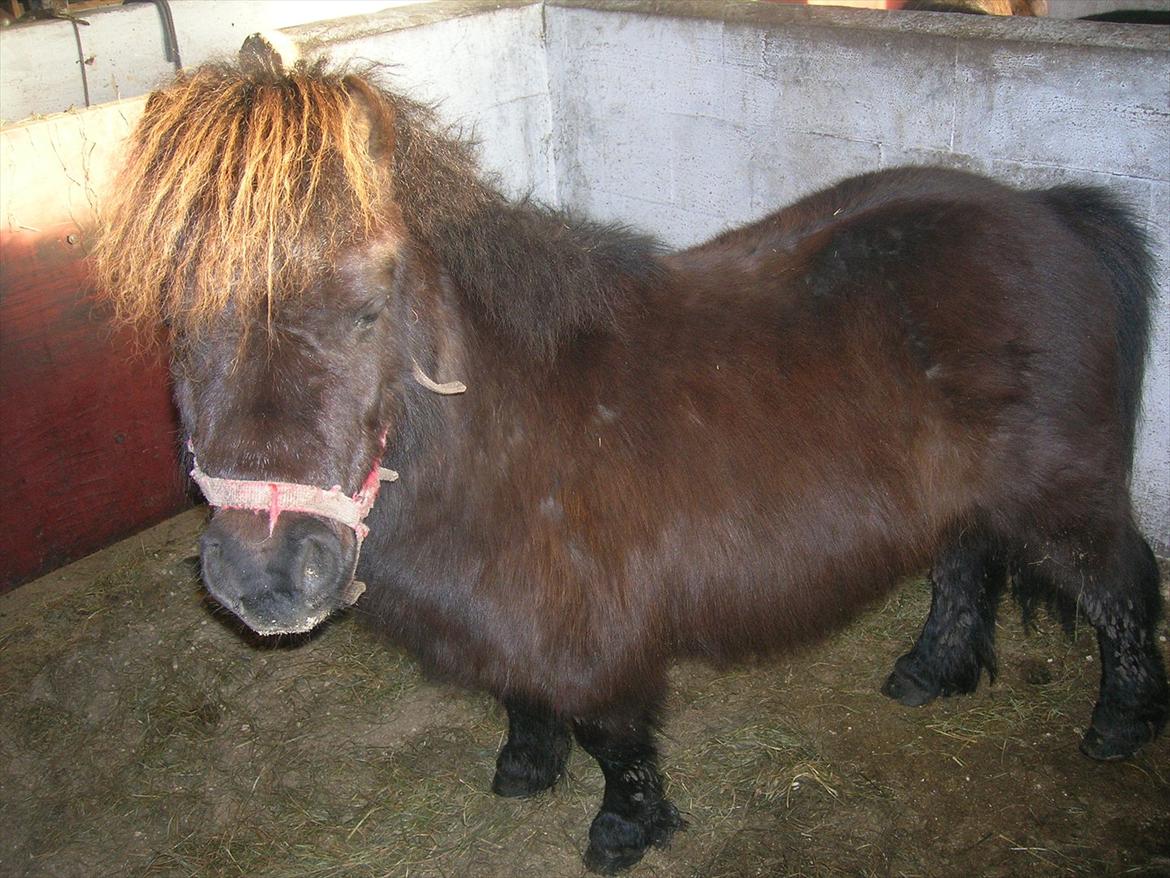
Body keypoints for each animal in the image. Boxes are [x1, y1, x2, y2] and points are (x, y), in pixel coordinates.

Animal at [95, 58, 1165, 875]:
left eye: (367, 309)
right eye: (175, 318)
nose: (268, 574)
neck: (502, 437)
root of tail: (1046, 211)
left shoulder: (595, 637)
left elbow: (613, 737)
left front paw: (624, 828)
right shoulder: (513, 620)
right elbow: (521, 697)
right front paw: (526, 768)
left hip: (1063, 502)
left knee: (1121, 588)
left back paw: (1119, 727)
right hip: (966, 499)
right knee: (963, 567)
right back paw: (928, 672)